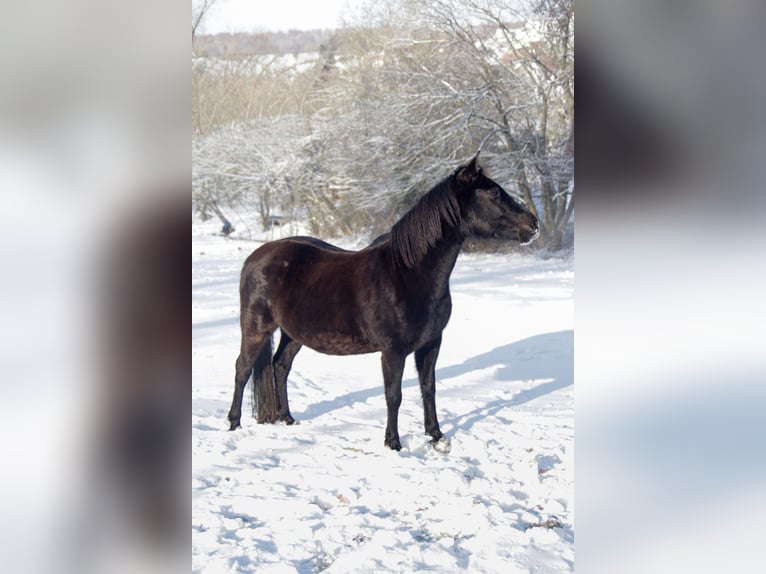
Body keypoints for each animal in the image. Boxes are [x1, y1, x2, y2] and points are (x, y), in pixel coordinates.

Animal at [227, 153, 539, 451]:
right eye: (494, 193)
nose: (534, 224)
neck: (407, 272)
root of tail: (254, 258)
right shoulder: (393, 351)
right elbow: (394, 395)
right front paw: (393, 442)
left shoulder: (431, 343)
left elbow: (428, 387)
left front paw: (436, 435)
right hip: (255, 329)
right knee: (242, 369)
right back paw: (234, 423)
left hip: (293, 334)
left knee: (280, 367)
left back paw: (287, 418)